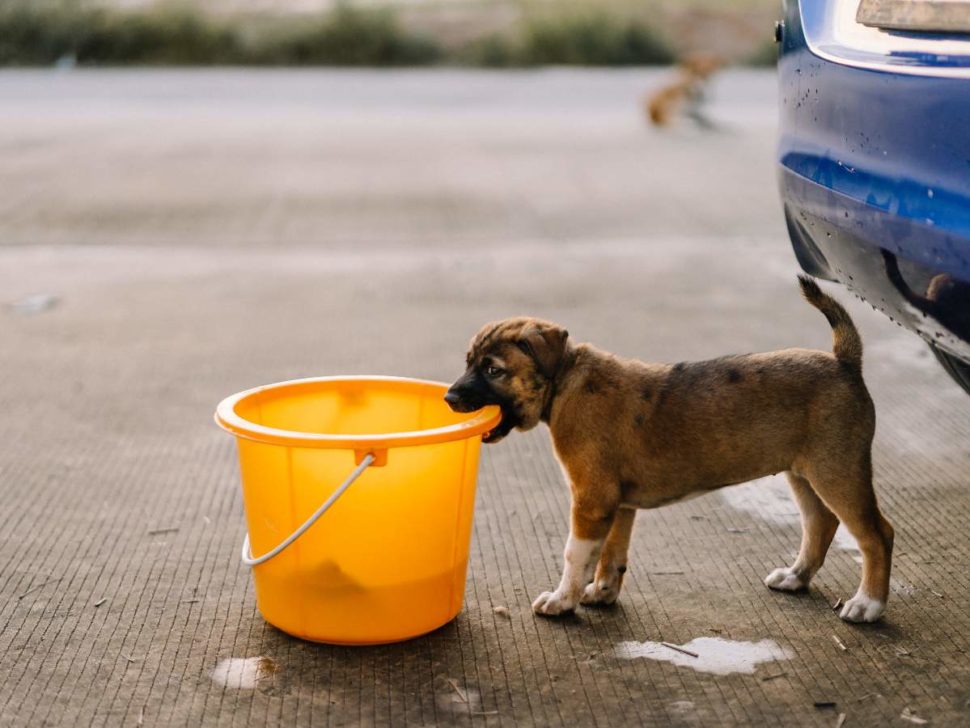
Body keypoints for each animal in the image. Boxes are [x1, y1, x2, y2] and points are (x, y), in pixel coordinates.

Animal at [446, 276, 892, 624]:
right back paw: (795, 578)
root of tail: (844, 362)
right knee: (821, 523)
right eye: (468, 362)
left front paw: (562, 601)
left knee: (876, 534)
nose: (449, 398)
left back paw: (867, 604)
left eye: (493, 370)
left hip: (837, 469)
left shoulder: (591, 501)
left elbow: (576, 555)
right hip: (802, 472)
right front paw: (601, 593)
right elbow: (611, 554)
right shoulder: (618, 504)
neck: (566, 383)